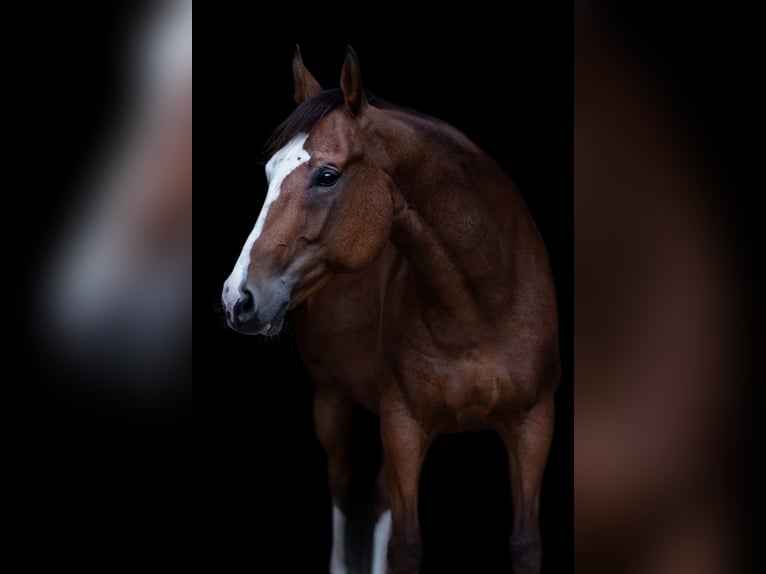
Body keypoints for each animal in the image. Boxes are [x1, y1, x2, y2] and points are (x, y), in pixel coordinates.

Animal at [222, 46, 559, 574]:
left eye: (327, 175)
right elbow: (406, 545)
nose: (238, 297)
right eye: (268, 174)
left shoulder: (533, 425)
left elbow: (525, 543)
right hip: (330, 402)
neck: (482, 310)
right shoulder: (404, 426)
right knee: (343, 492)